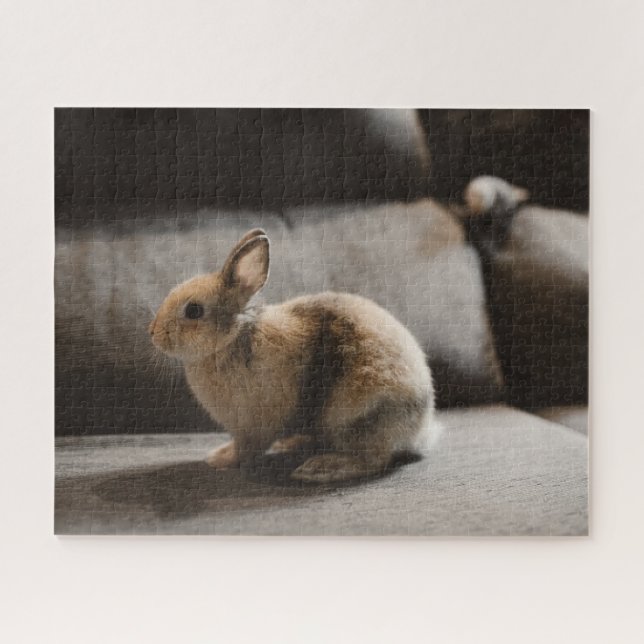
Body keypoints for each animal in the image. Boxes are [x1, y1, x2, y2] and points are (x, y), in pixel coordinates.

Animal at [149, 228, 438, 483]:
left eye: (194, 310)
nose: (152, 333)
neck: (235, 337)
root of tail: (421, 426)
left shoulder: (253, 426)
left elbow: (245, 449)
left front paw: (221, 458)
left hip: (358, 417)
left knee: (373, 460)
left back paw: (320, 468)